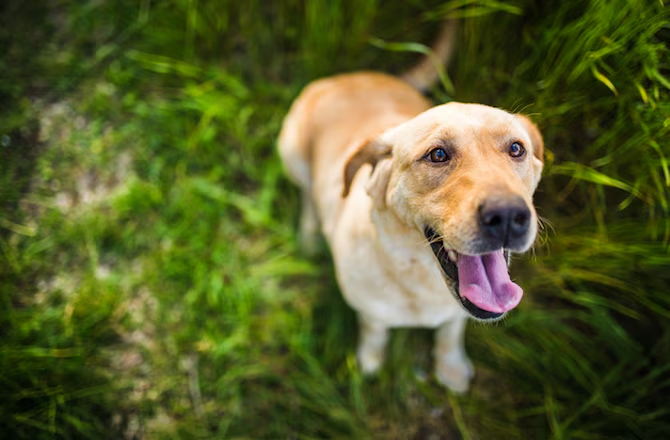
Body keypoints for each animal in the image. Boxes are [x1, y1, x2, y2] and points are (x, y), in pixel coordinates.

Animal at [278, 22, 544, 392]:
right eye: (438, 154)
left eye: (517, 149)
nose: (507, 216)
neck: (422, 277)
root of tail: (350, 76)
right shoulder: (369, 311)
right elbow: (374, 332)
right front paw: (370, 363)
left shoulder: (456, 315)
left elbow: (450, 331)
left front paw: (451, 367)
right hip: (291, 153)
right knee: (306, 194)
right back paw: (309, 234)